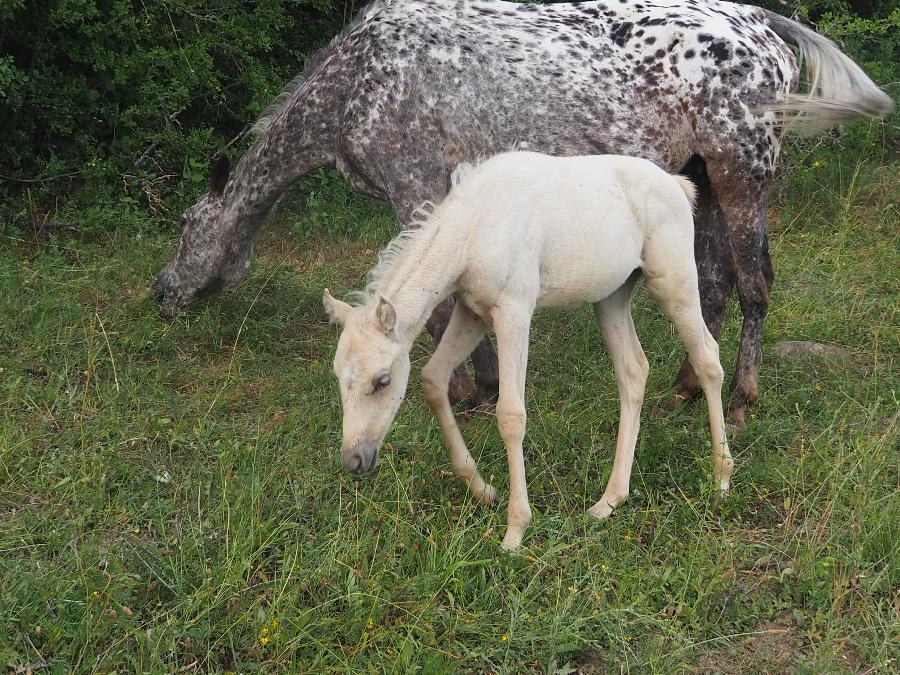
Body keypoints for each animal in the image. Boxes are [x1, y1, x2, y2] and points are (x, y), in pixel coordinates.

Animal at [153, 0, 893, 426]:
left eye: (187, 226)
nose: (162, 292)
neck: (354, 83)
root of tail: (762, 23)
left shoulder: (416, 188)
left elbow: (434, 305)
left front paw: (467, 391)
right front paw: (478, 383)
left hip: (743, 173)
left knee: (755, 284)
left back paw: (739, 401)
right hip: (701, 179)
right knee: (711, 285)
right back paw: (687, 389)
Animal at [323, 151, 733, 551]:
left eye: (382, 381)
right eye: (339, 377)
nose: (354, 460)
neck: (474, 229)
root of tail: (677, 185)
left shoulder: (514, 311)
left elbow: (511, 415)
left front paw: (516, 529)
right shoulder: (472, 311)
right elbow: (433, 379)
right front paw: (483, 489)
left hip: (673, 282)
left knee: (708, 359)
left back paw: (721, 477)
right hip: (612, 297)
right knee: (634, 370)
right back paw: (609, 500)